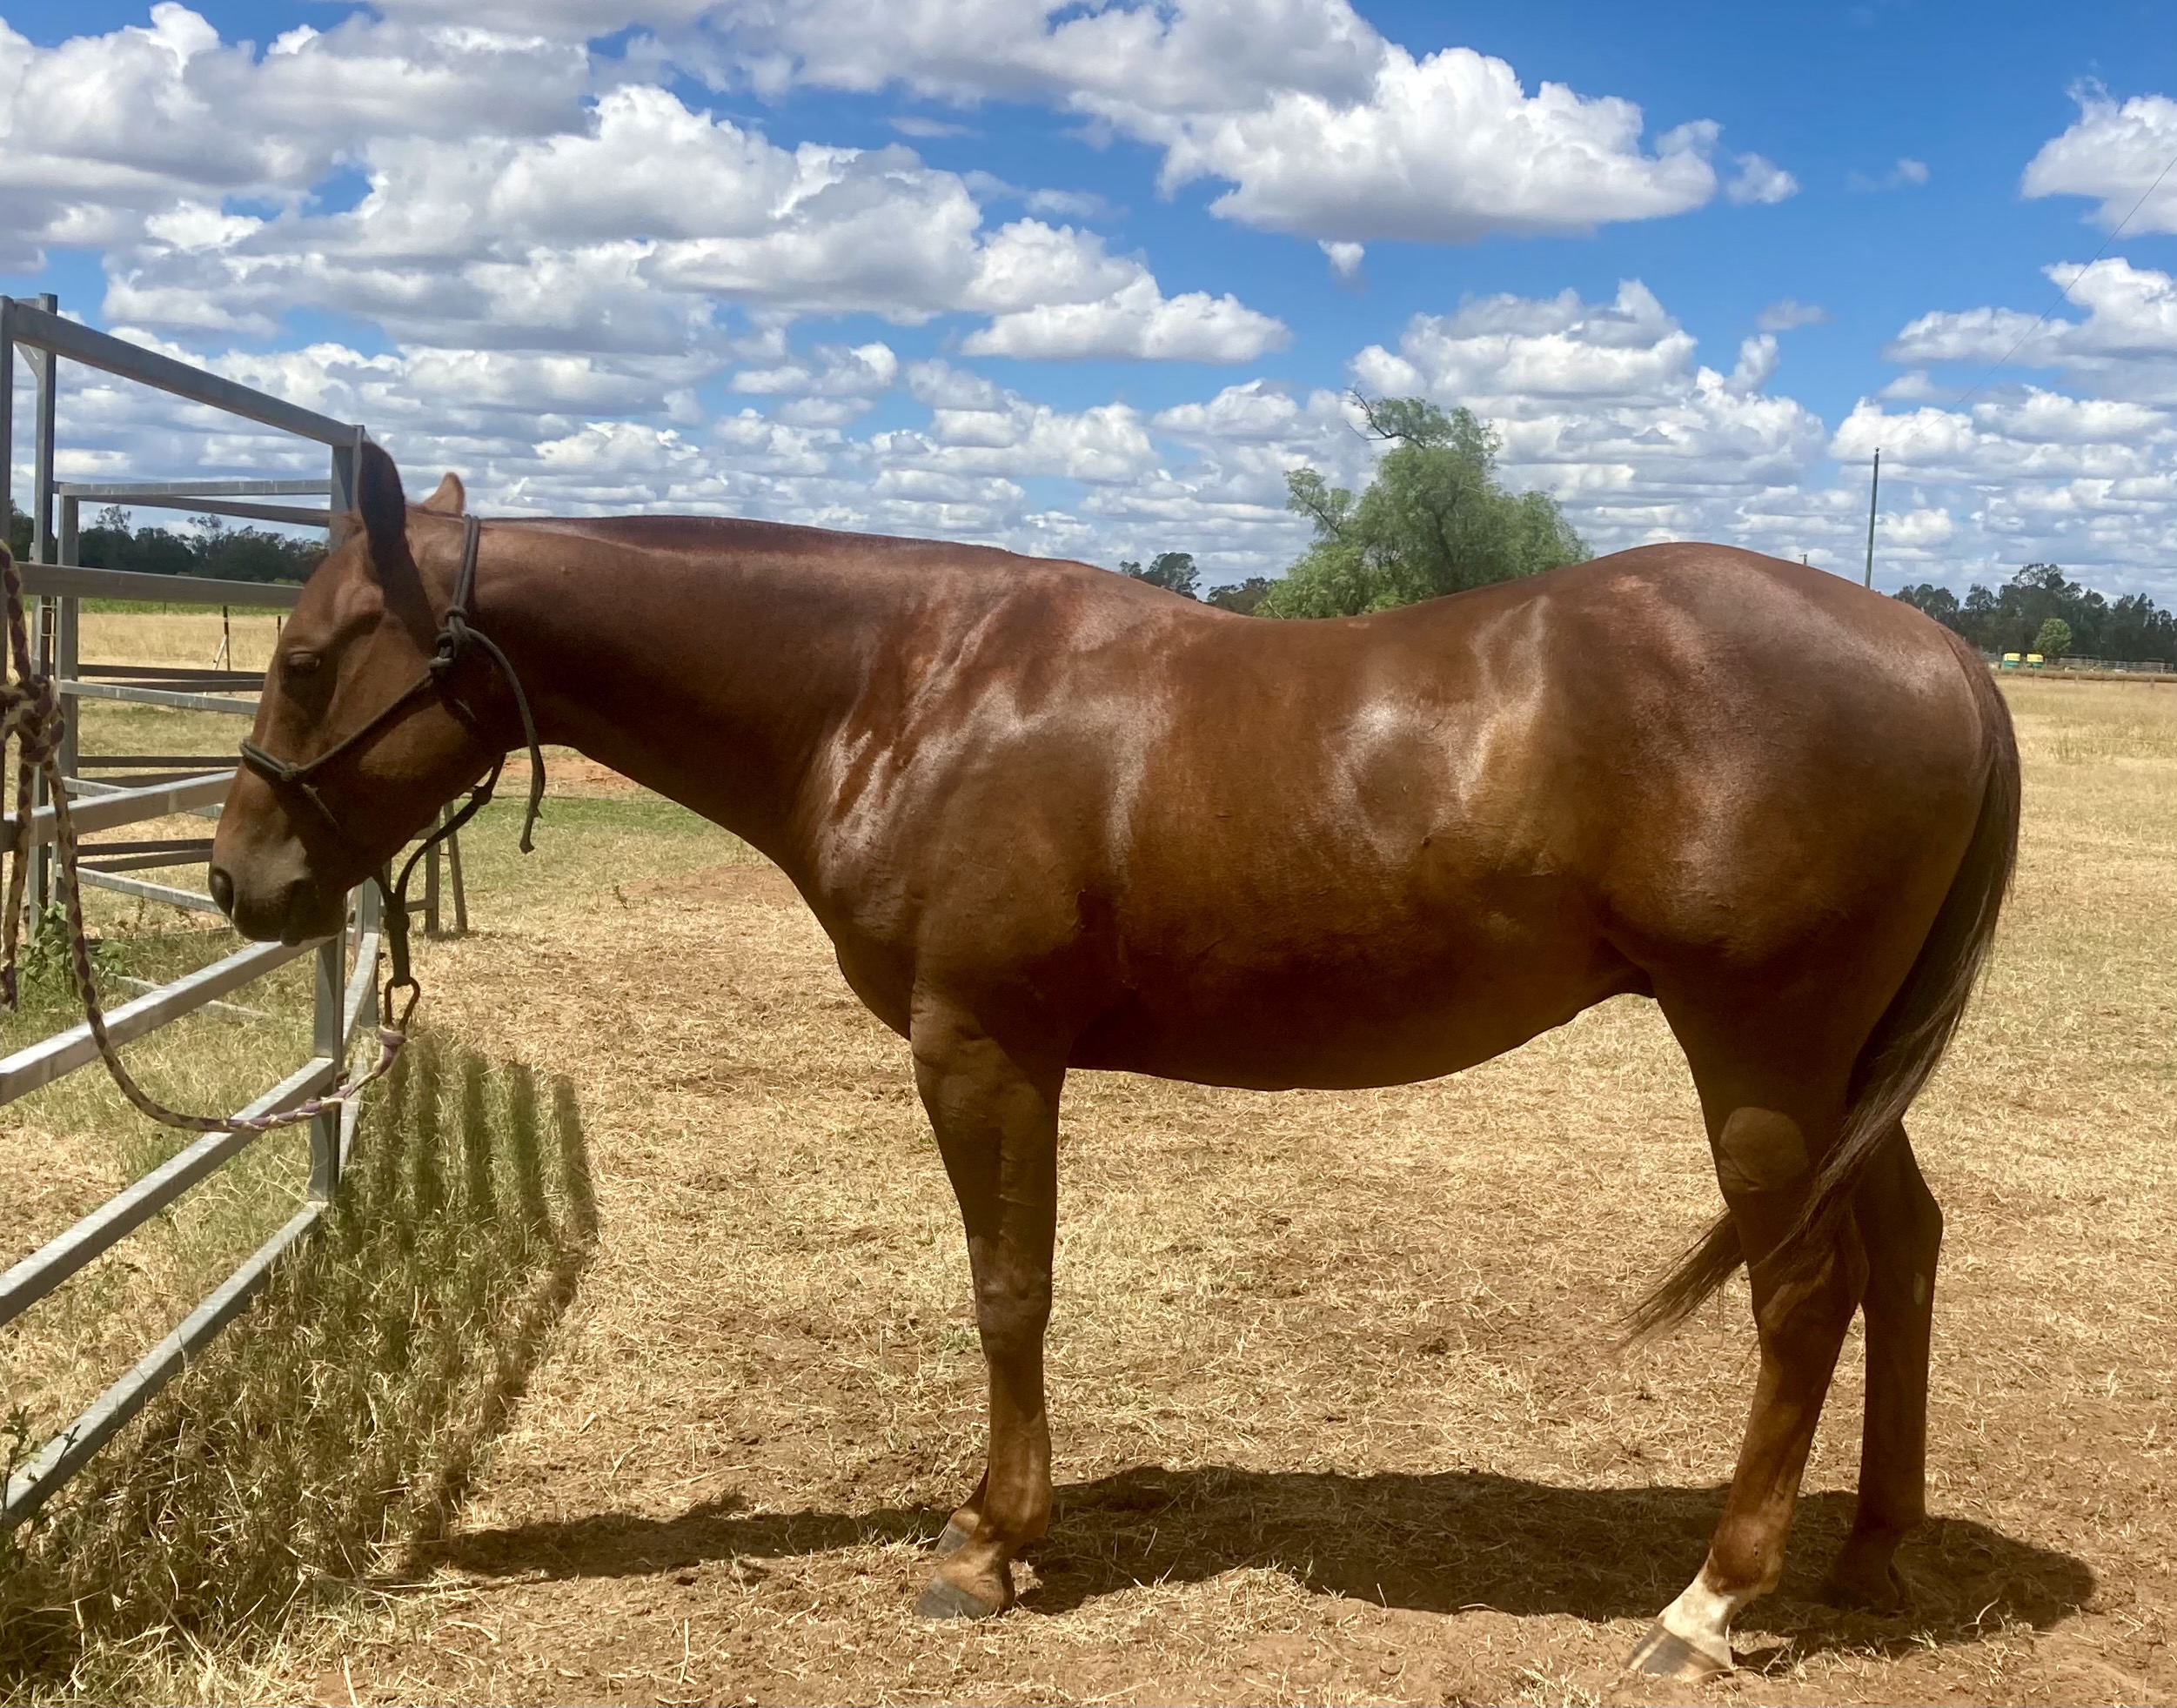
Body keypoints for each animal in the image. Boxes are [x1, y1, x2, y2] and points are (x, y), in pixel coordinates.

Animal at [209, 442, 2017, 1680]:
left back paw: (1708, 1601)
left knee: (1806, 1294)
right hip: (1845, 1071)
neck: (905, 686)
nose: (242, 880)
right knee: (1908, 1249)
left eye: (304, 658)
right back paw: (1872, 1551)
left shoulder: (983, 1050)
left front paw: (985, 1545)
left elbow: (1008, 1285)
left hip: (1761, 1054)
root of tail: (1943, 654)